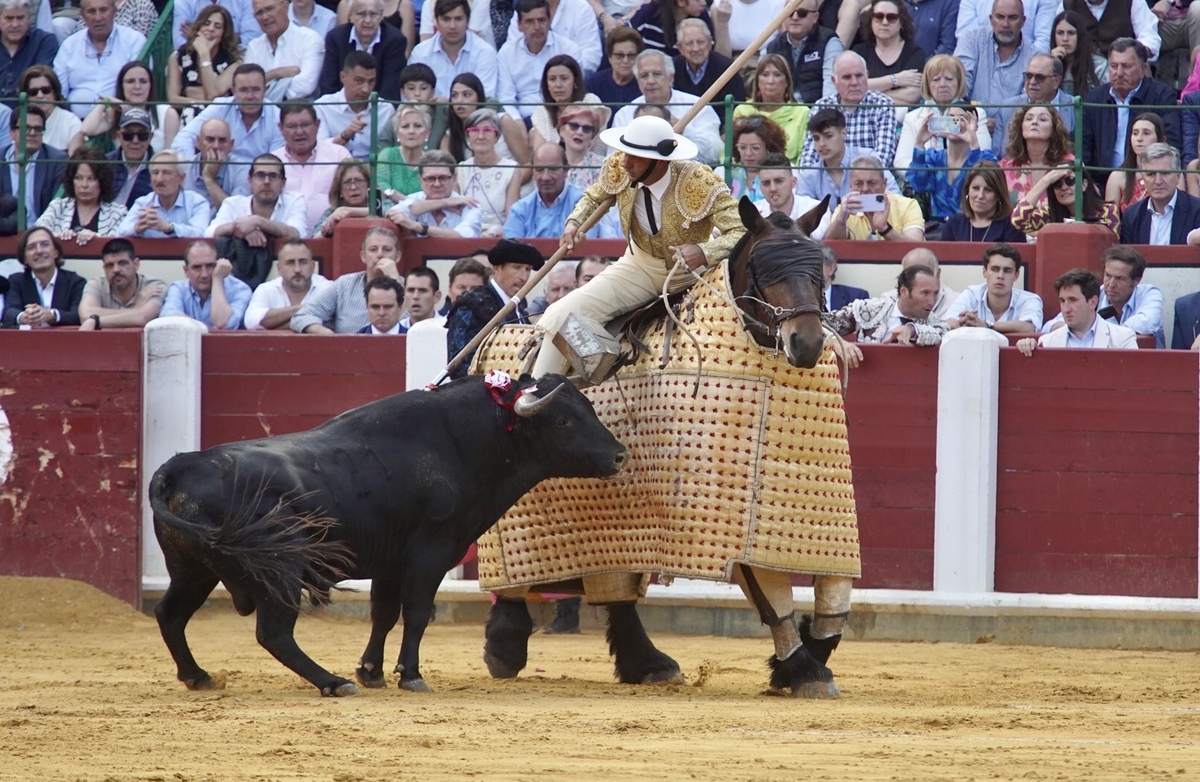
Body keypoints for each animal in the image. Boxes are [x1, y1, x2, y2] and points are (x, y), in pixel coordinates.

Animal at [150, 374, 628, 695]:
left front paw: (372, 671)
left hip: (191, 568)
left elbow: (383, 613)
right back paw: (332, 682)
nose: (620, 455)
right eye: (564, 421)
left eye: (588, 409)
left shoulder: (390, 563)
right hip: (281, 570)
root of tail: (178, 467)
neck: (461, 442)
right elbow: (416, 613)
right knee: (274, 633)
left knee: (170, 614)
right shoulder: (430, 553)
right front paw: (409, 675)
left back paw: (197, 676)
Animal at [472, 195, 859, 695]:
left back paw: (648, 663)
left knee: (614, 589)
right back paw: (505, 645)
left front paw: (799, 664)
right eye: (762, 269)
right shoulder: (727, 523)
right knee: (515, 578)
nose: (806, 342)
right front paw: (802, 669)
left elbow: (836, 598)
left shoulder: (826, 522)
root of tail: (493, 342)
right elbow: (773, 598)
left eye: (818, 272)